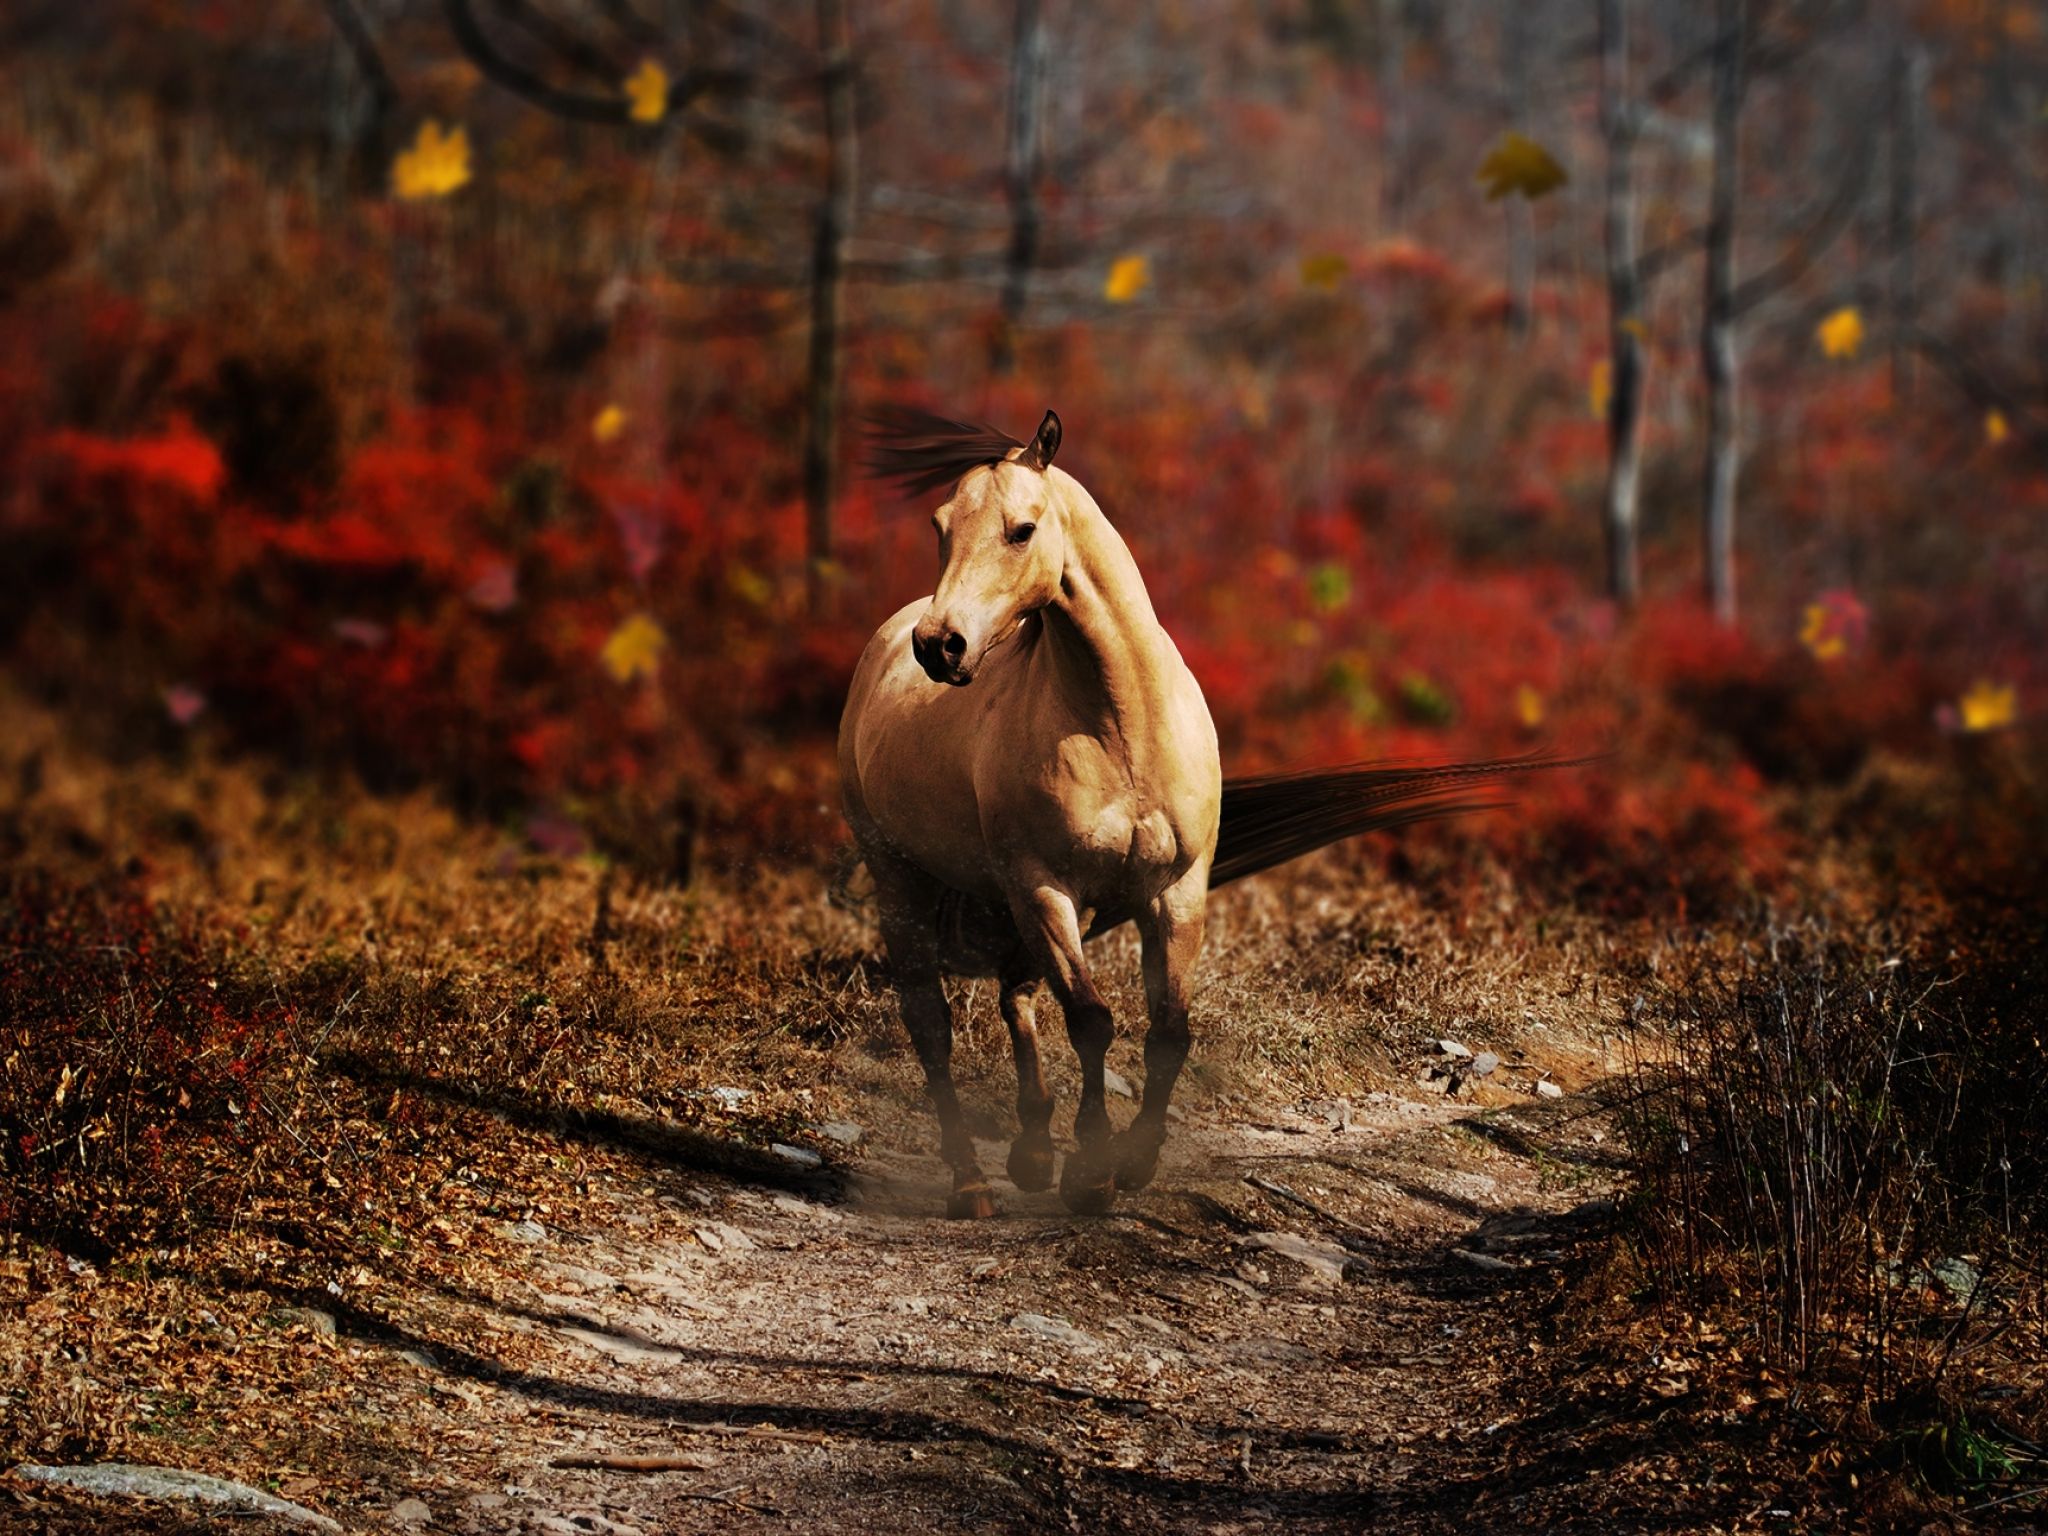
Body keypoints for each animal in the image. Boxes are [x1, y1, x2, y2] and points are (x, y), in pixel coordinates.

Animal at [842, 405, 1560, 1218]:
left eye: (1021, 529)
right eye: (940, 526)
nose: (940, 646)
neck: (1121, 724)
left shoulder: (1174, 890)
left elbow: (1169, 1031)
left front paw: (1132, 1163)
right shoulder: (1047, 887)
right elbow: (1091, 1020)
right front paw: (1091, 1171)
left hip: (1014, 897)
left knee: (1015, 994)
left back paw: (1030, 1155)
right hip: (910, 878)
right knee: (931, 1023)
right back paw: (971, 1183)